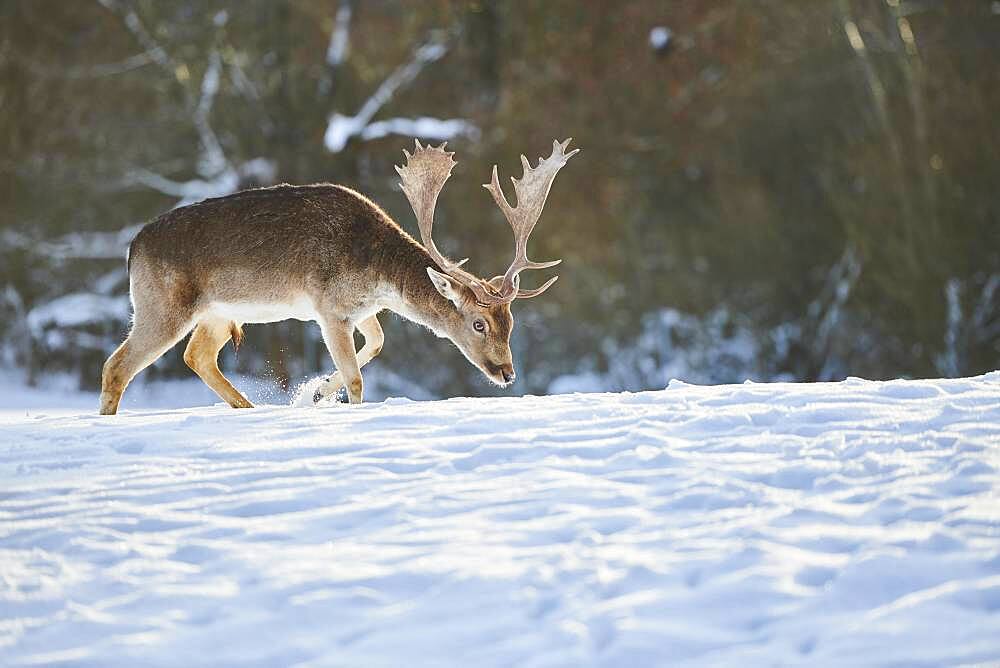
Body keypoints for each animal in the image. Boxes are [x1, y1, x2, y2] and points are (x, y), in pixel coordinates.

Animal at [100, 138, 580, 412]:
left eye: (510, 322)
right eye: (479, 323)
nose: (507, 373)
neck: (376, 272)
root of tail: (132, 248)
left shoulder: (362, 310)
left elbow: (379, 342)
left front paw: (314, 393)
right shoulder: (327, 307)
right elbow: (356, 378)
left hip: (219, 313)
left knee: (196, 356)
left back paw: (250, 407)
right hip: (162, 305)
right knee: (116, 366)